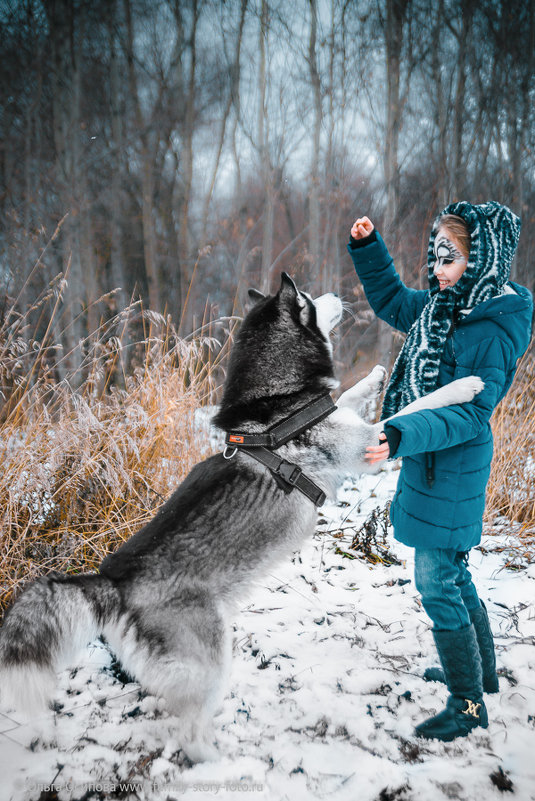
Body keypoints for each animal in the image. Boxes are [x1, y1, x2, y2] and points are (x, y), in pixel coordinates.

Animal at [0, 272, 486, 760]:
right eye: (309, 297)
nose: (338, 293)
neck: (278, 397)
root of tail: (112, 581)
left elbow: (347, 396)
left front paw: (373, 377)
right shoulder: (368, 446)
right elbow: (415, 409)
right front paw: (463, 387)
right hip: (213, 654)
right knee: (189, 732)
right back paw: (219, 762)